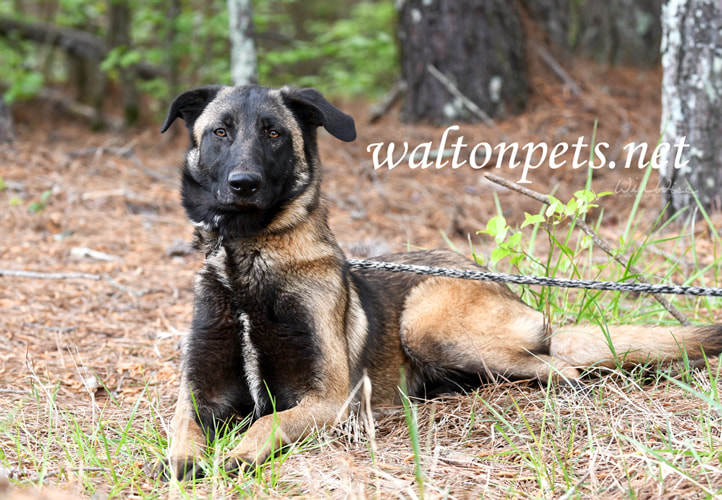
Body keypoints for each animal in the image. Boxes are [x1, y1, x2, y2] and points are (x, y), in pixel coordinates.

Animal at [158, 84, 720, 478]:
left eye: (273, 133)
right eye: (220, 132)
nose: (243, 185)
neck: (247, 263)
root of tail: (497, 281)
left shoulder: (328, 399)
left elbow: (266, 420)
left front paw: (240, 451)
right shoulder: (201, 393)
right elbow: (182, 428)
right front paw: (184, 460)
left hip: (427, 320)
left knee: (559, 366)